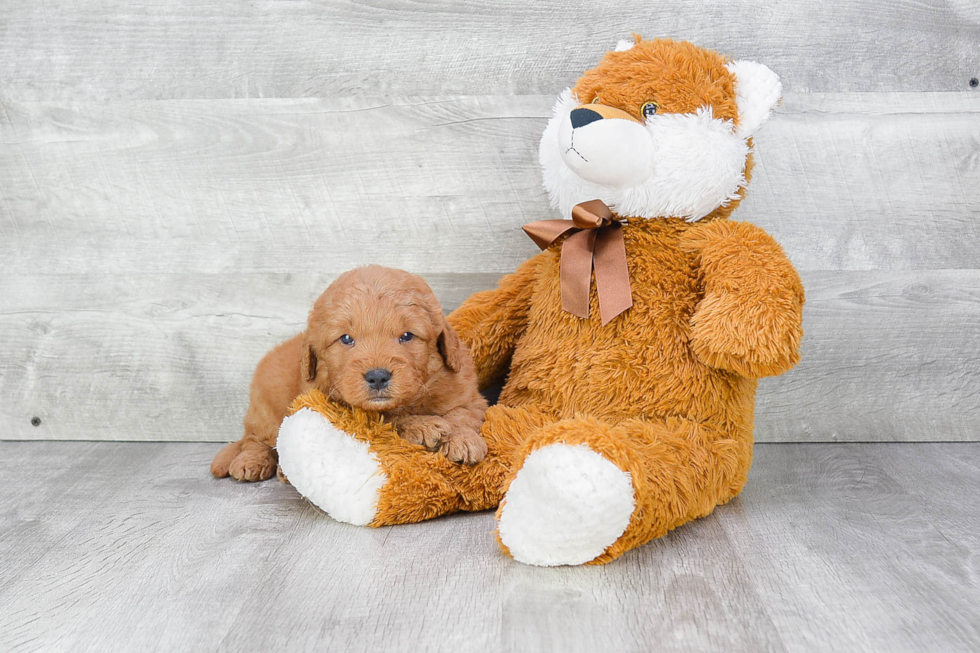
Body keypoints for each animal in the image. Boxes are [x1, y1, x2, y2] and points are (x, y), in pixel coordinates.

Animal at [211, 262, 486, 482]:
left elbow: (462, 414)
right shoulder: (340, 409)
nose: (377, 376)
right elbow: (388, 419)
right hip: (265, 411)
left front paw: (463, 440)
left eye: (407, 336)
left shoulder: (469, 396)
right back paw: (252, 462)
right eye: (346, 339)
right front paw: (423, 425)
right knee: (256, 440)